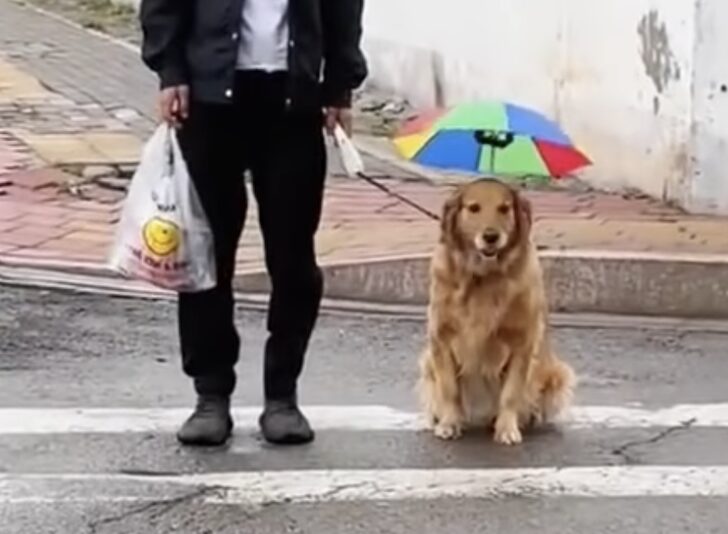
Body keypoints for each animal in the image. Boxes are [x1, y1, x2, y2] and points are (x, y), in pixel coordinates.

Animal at [418, 178, 576, 446]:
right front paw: (449, 423)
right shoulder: (440, 339)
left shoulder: (522, 343)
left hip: (558, 373)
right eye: (473, 208)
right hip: (427, 360)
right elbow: (449, 389)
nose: (491, 237)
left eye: (504, 208)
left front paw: (507, 428)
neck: (483, 278)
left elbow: (511, 393)